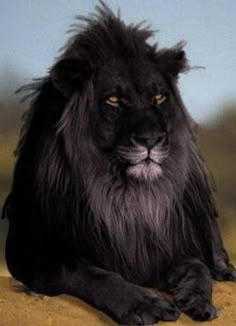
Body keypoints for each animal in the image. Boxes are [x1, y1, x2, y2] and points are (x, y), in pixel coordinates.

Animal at [2, 1, 236, 324]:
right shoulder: (34, 251)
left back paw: (225, 271)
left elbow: (197, 266)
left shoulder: (162, 248)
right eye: (113, 100)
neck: (126, 198)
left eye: (159, 97)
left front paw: (199, 301)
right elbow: (91, 274)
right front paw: (145, 306)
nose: (151, 139)